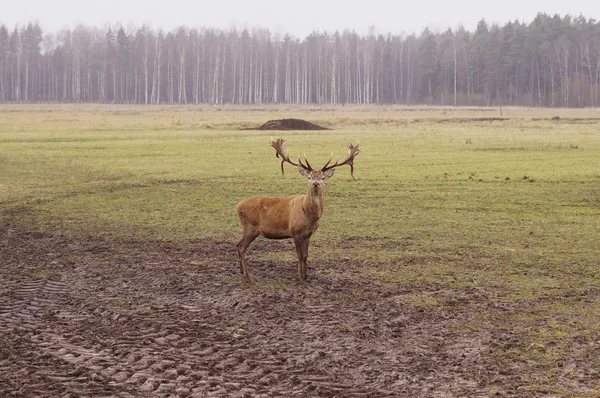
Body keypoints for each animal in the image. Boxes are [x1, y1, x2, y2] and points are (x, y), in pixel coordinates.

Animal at [236, 138, 360, 282]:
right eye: (309, 177)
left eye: (322, 177)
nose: (315, 183)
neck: (310, 216)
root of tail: (238, 206)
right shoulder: (295, 232)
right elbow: (299, 256)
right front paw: (300, 277)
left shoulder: (308, 234)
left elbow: (305, 256)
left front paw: (306, 277)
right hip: (250, 227)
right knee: (242, 247)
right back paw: (247, 275)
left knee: (238, 244)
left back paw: (241, 272)